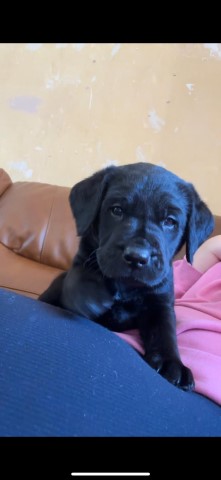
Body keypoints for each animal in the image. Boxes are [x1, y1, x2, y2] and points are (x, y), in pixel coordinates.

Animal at [39, 162, 214, 390]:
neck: (126, 286)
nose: (137, 257)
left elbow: (165, 331)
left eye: (169, 221)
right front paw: (90, 295)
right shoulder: (83, 258)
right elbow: (78, 275)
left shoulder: (160, 303)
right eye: (117, 210)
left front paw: (172, 363)